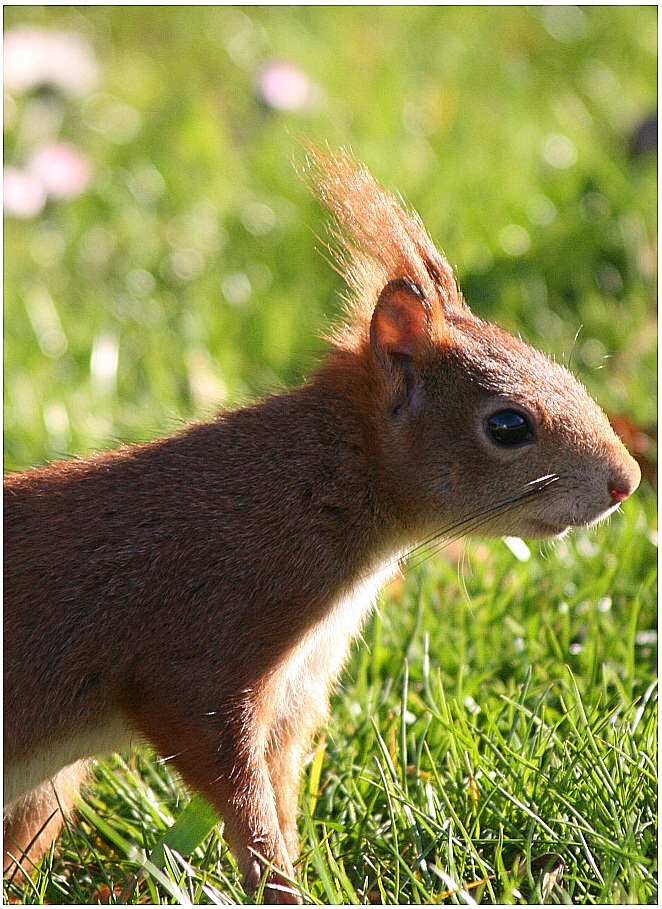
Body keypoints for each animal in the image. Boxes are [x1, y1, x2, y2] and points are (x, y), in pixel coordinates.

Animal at [2, 149, 640, 900]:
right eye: (508, 425)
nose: (627, 480)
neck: (315, 487)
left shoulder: (293, 694)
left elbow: (278, 790)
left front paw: (299, 872)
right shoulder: (200, 642)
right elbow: (231, 779)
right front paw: (278, 882)